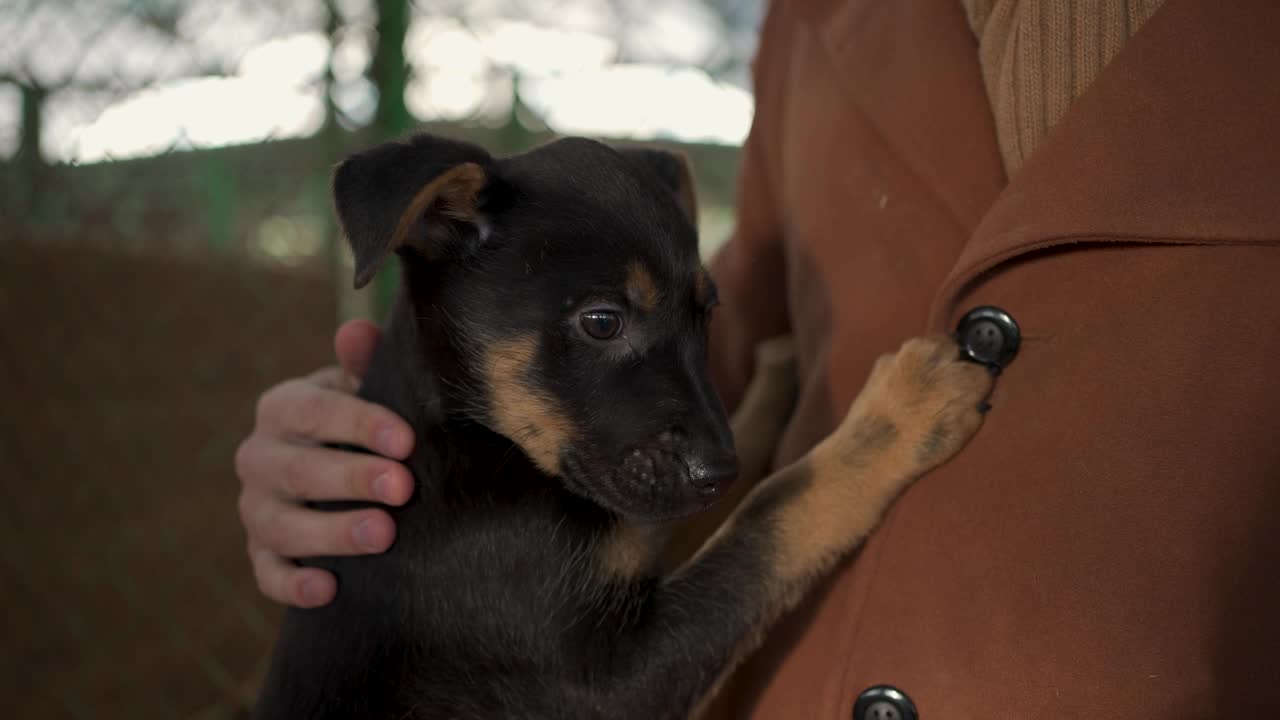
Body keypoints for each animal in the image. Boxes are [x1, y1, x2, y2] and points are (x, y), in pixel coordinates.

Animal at [249, 131, 988, 712]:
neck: (470, 442)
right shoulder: (606, 682)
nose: (718, 473)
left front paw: (778, 375)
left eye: (706, 314)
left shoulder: (641, 514)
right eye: (603, 322)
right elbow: (772, 517)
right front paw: (901, 410)